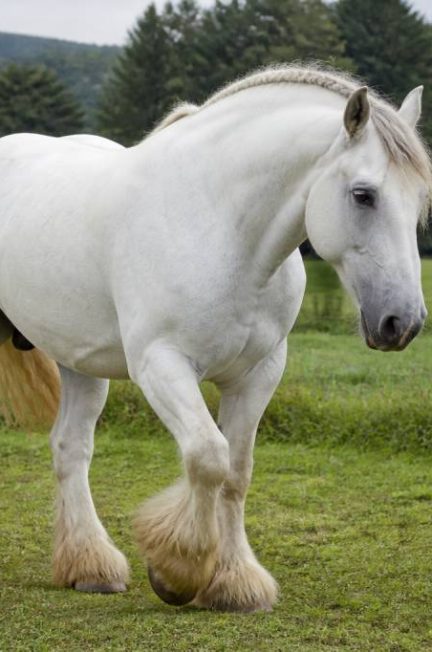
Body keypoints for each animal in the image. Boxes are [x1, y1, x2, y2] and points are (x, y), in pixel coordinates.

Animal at [0, 65, 430, 612]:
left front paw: (233, 581)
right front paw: (177, 572)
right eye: (363, 194)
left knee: (70, 447)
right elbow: (208, 457)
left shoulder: (258, 373)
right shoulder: (161, 364)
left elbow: (237, 471)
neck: (220, 225)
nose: (404, 322)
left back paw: (90, 566)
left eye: (418, 202)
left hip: (80, 363)